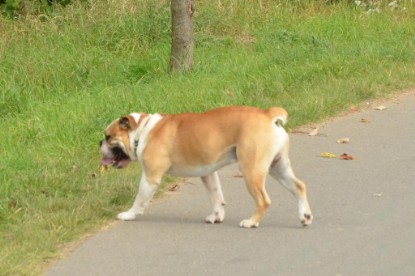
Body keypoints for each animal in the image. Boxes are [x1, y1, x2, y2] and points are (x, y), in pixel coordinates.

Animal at [100, 106, 312, 227]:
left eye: (108, 137)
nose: (99, 143)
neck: (142, 131)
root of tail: (268, 115)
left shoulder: (150, 177)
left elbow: (139, 199)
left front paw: (129, 214)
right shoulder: (208, 173)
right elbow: (216, 197)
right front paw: (217, 216)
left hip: (251, 169)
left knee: (263, 200)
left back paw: (251, 222)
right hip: (278, 166)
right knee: (298, 186)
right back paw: (305, 216)